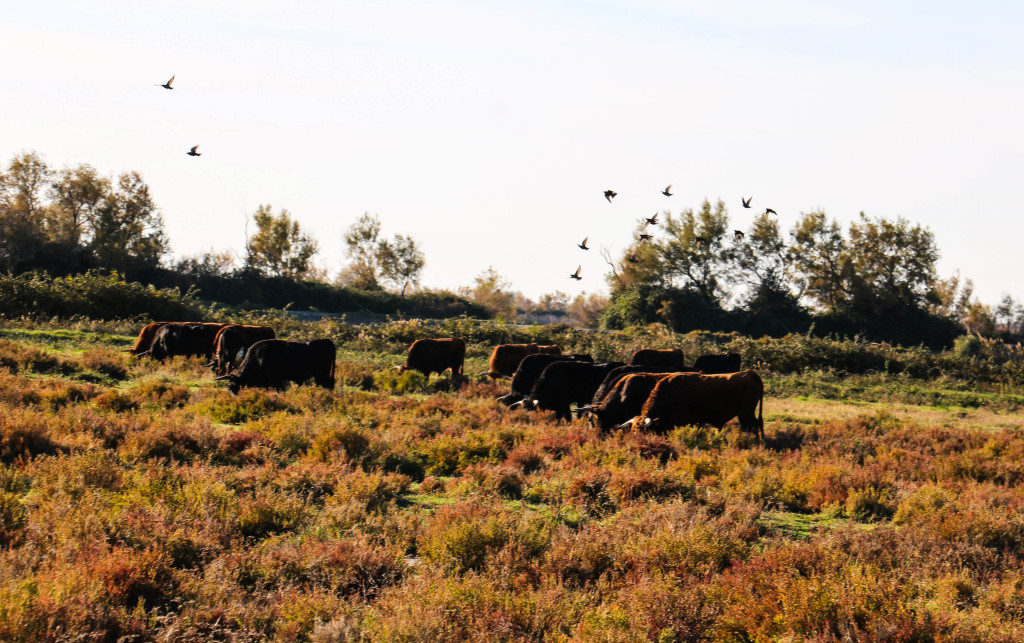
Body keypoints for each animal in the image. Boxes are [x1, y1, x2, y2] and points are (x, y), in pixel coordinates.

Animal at [626, 368, 765, 440]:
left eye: (640, 432)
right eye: (632, 430)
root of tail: (750, 373)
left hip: (745, 414)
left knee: (751, 427)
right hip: (748, 413)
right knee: (758, 424)